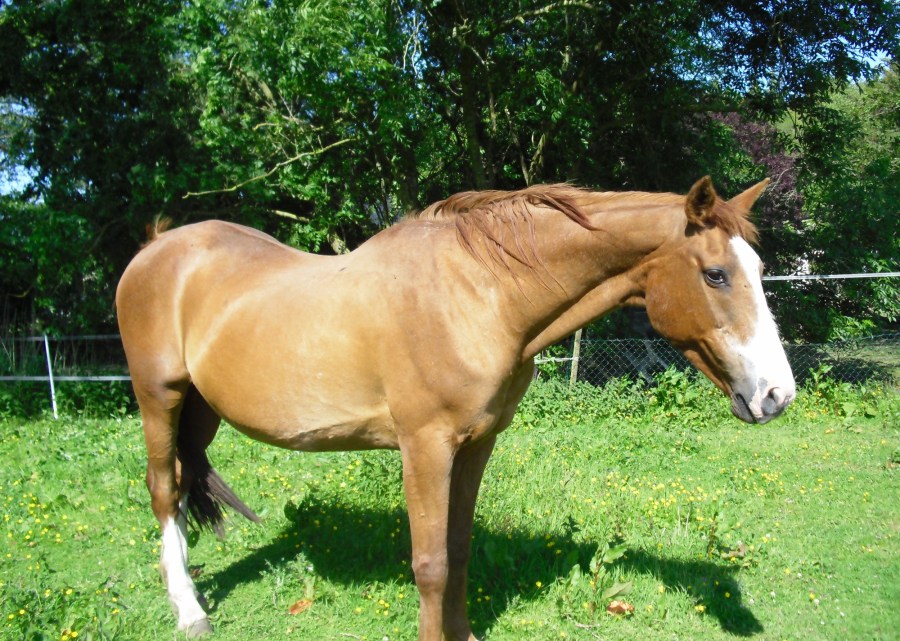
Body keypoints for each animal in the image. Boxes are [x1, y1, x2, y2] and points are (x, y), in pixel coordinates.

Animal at [116, 176, 795, 640]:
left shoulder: (476, 443)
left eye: (758, 268)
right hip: (158, 398)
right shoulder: (425, 447)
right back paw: (189, 611)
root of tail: (155, 247)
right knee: (163, 491)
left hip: (201, 407)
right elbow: (432, 563)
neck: (479, 294)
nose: (776, 394)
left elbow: (461, 550)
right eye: (715, 274)